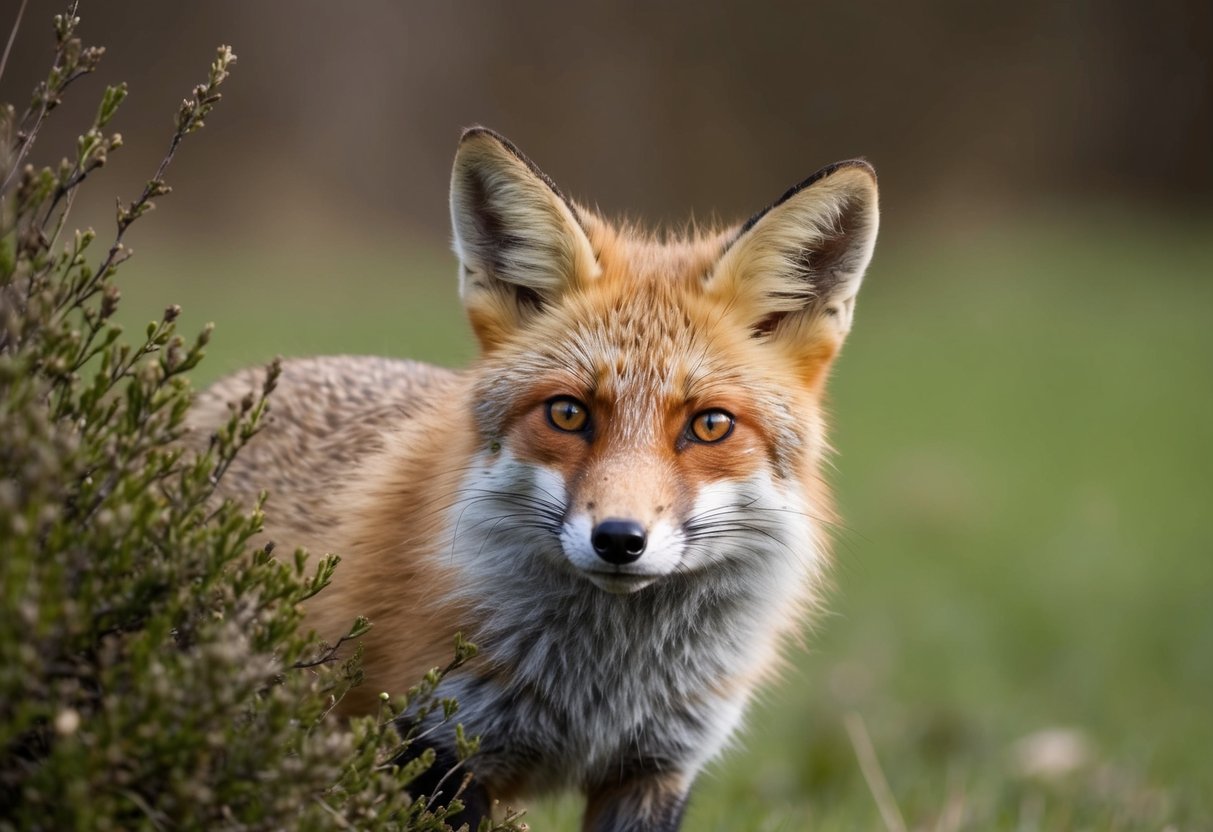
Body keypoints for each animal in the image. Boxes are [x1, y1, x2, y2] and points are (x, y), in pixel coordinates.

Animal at [190, 127, 879, 831]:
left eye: (711, 425)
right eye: (568, 413)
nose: (619, 539)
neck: (603, 690)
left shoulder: (657, 768)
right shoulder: (438, 745)